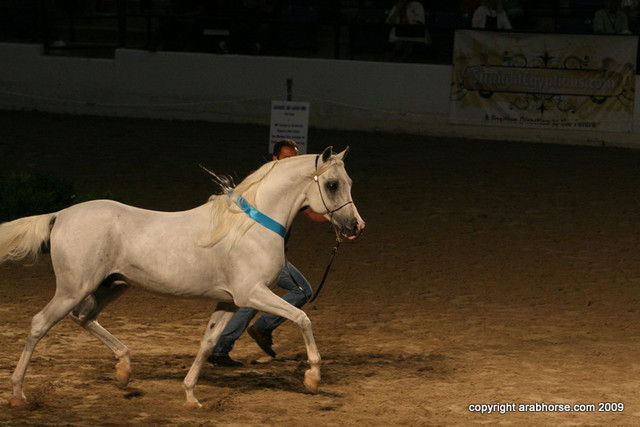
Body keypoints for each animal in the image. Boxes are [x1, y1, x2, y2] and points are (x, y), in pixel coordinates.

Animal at [0, 146, 365, 408]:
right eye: (332, 185)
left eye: (347, 183)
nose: (355, 227)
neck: (251, 225)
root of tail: (61, 214)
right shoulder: (253, 293)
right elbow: (302, 318)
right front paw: (313, 377)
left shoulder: (230, 301)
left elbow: (208, 343)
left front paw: (190, 396)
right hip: (74, 288)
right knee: (39, 324)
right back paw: (18, 395)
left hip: (110, 285)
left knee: (83, 317)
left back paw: (124, 371)